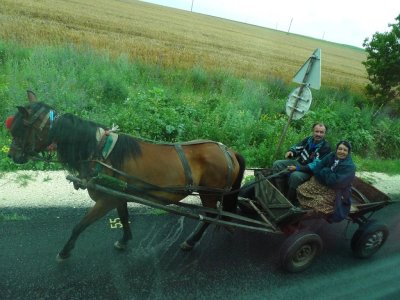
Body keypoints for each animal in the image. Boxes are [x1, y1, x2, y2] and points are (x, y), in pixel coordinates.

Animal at [6, 90, 245, 262]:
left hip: (210, 194)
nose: (11, 155)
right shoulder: (118, 196)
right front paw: (124, 240)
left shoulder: (105, 200)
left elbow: (80, 225)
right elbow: (123, 217)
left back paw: (191, 241)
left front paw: (65, 251)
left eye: (20, 130)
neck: (99, 152)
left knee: (210, 216)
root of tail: (229, 152)